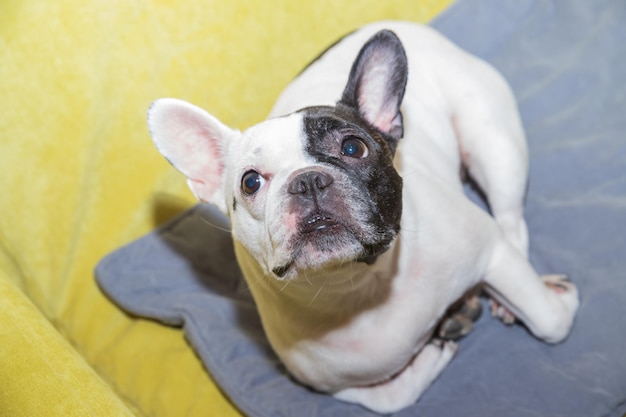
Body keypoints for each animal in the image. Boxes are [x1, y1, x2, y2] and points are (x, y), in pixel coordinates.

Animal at [145, 22, 576, 412]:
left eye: (353, 147)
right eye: (250, 182)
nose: (308, 180)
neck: (354, 285)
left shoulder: (488, 249)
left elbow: (550, 323)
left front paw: (557, 301)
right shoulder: (329, 385)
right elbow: (390, 399)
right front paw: (433, 350)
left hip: (492, 143)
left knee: (510, 220)